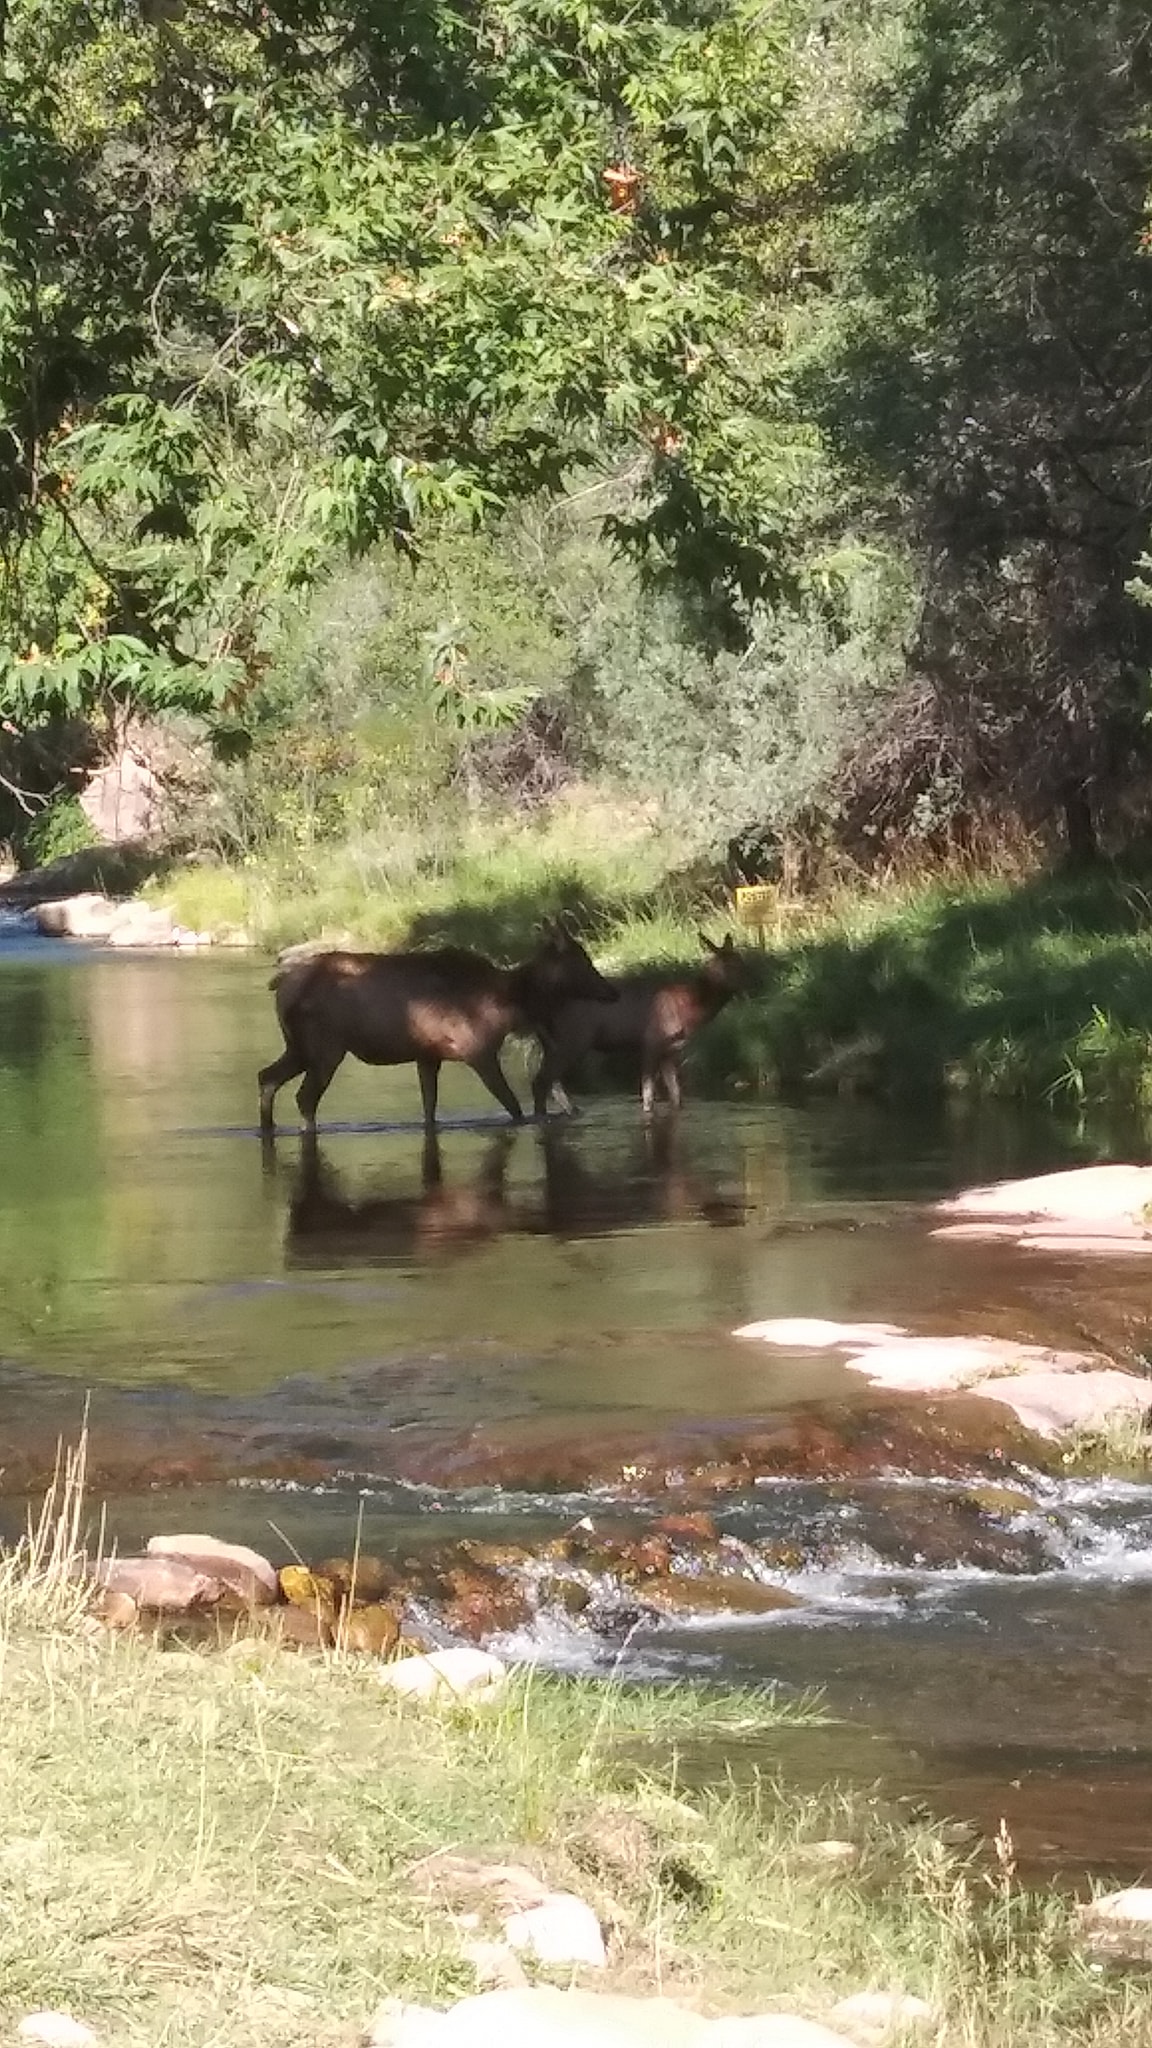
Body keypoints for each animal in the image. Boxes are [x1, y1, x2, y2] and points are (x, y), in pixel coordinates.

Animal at [258, 921, 619, 1130]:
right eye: (582, 959)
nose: (611, 991)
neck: (511, 1003)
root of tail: (281, 987)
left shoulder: (428, 1055)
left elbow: (429, 1108)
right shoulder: (478, 1050)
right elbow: (513, 1107)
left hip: (299, 1046)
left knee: (267, 1077)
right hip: (326, 1046)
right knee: (304, 1097)